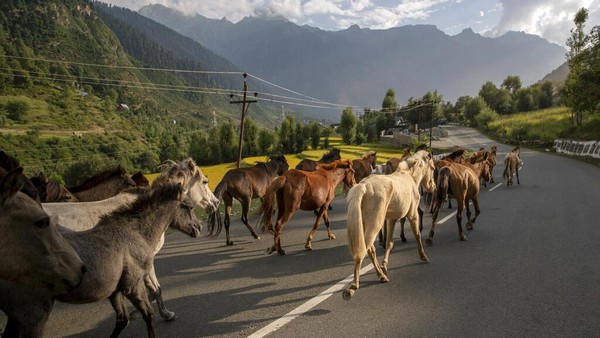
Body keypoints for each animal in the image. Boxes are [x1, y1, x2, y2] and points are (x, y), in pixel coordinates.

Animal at [342, 151, 436, 302]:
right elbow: (417, 235)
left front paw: (385, 265)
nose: (433, 186)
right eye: (432, 168)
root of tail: (364, 186)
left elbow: (389, 243)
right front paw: (423, 256)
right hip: (375, 224)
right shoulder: (412, 215)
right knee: (364, 250)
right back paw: (352, 288)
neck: (409, 176)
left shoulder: (391, 220)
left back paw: (382, 276)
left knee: (370, 249)